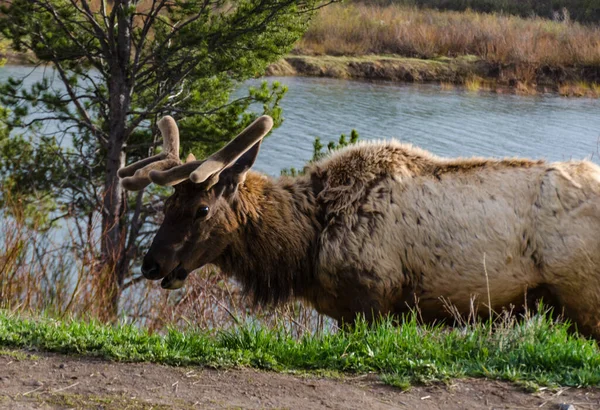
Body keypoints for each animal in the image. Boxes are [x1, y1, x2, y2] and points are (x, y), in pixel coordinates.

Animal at [118, 115, 600, 340]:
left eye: (201, 209)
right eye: (168, 205)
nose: (151, 264)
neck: (307, 245)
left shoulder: (373, 299)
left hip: (583, 295)